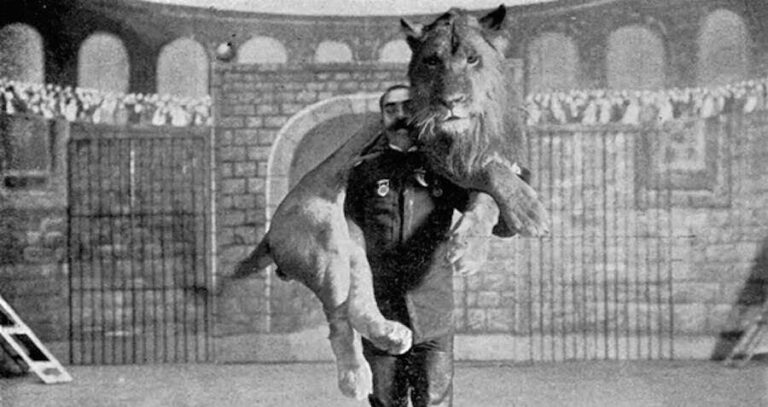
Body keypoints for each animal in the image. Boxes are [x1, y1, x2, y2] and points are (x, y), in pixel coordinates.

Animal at [230, 5, 550, 399]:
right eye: (432, 61)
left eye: (473, 59)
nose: (451, 102)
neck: (475, 129)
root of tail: (270, 232)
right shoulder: (435, 148)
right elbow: (488, 171)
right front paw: (530, 214)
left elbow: (489, 196)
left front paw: (472, 244)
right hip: (324, 240)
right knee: (339, 319)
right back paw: (355, 376)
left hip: (354, 246)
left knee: (357, 303)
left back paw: (391, 335)